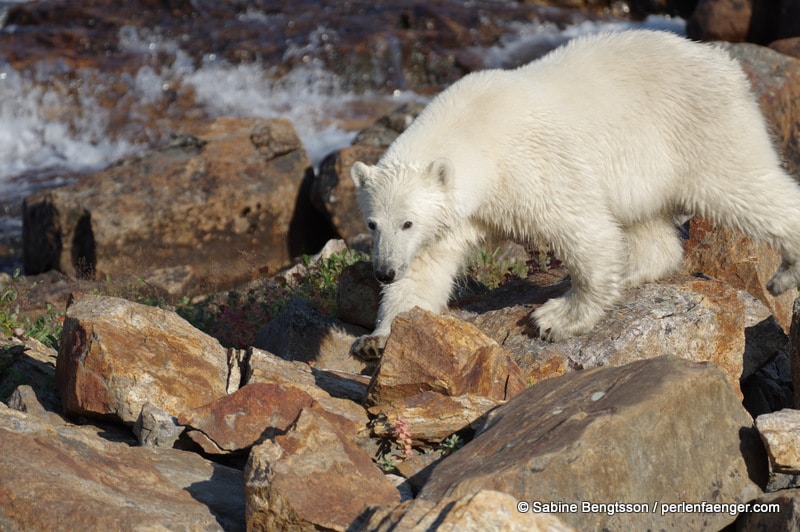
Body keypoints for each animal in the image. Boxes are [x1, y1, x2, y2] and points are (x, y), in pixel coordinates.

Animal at [350, 31, 800, 360]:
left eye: (408, 221)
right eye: (372, 224)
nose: (383, 271)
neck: (474, 128)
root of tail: (723, 62)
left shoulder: (530, 165)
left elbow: (582, 229)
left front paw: (555, 319)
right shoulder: (460, 214)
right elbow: (425, 269)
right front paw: (376, 339)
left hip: (702, 129)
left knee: (744, 187)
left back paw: (786, 270)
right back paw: (633, 269)